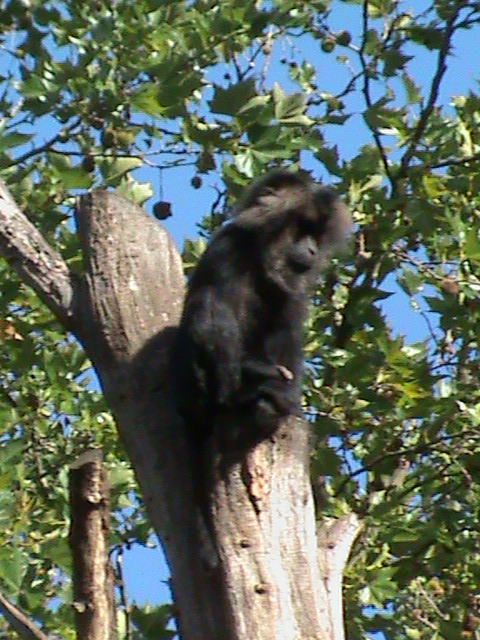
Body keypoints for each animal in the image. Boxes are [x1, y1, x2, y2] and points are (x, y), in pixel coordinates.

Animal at [171, 169, 350, 446]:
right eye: (302, 227)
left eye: (317, 237)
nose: (312, 250)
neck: (260, 261)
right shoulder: (226, 247)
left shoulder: (294, 294)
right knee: (208, 303)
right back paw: (234, 396)